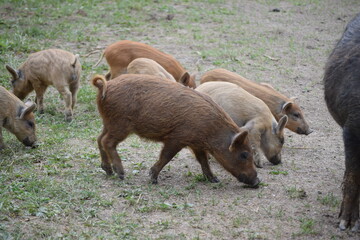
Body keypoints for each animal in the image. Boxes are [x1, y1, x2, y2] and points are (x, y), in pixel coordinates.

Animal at [90, 74, 258, 187]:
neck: (211, 129)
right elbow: (166, 157)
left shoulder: (196, 144)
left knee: (99, 139)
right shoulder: (177, 138)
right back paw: (121, 174)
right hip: (120, 125)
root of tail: (104, 86)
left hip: (109, 123)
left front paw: (214, 179)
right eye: (244, 154)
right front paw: (153, 179)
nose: (257, 181)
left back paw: (108, 171)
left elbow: (203, 161)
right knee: (107, 141)